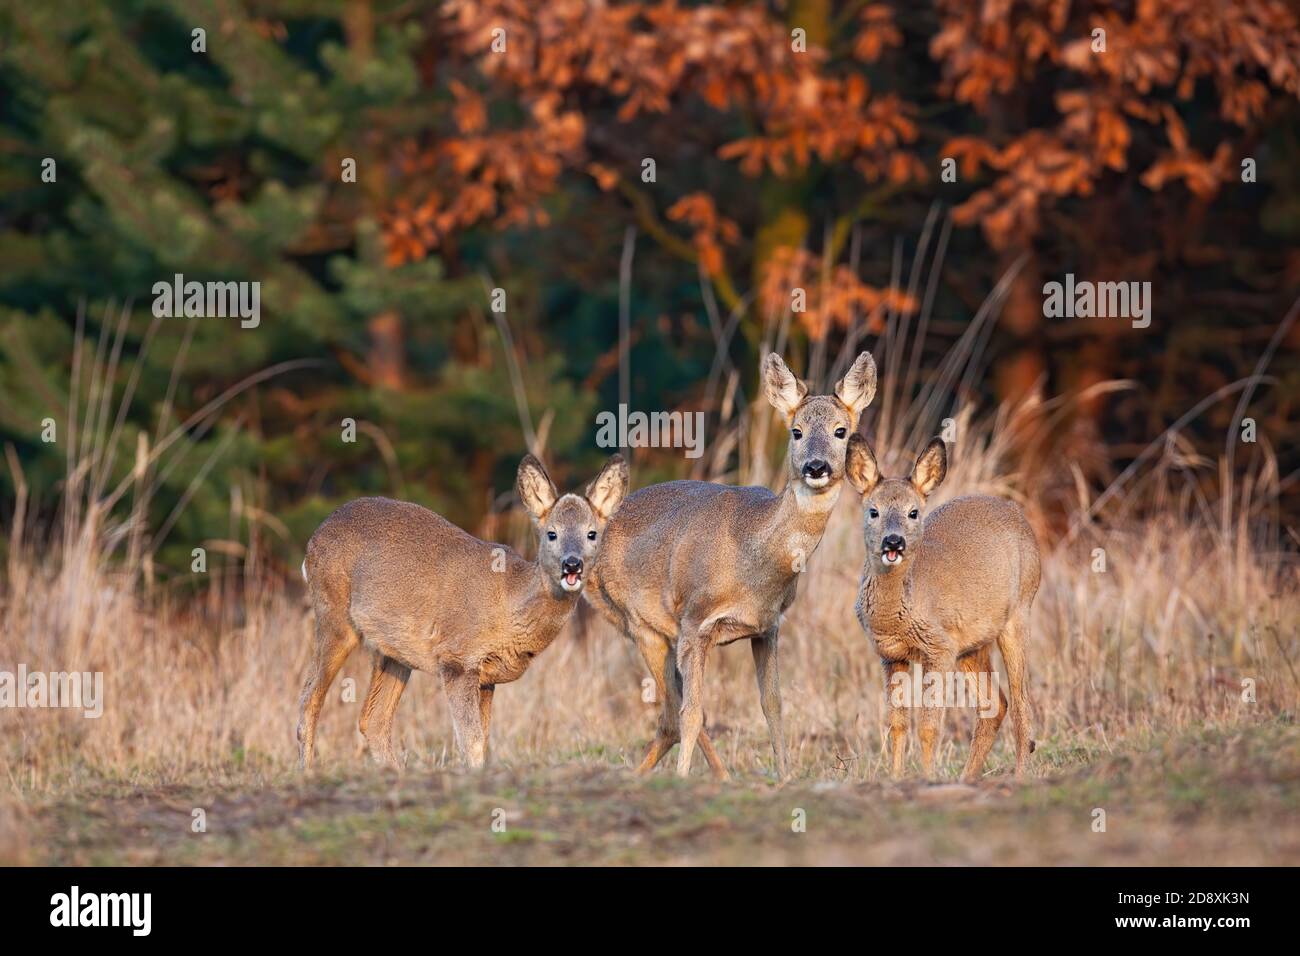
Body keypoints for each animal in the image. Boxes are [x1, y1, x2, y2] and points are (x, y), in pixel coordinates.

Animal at [297, 455, 626, 770]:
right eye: (551, 534)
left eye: (592, 534)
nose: (572, 564)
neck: (510, 603)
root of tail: (313, 540)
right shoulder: (456, 658)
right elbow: (472, 741)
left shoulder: (487, 677)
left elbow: (482, 737)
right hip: (334, 615)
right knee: (309, 699)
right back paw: (308, 771)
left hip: (393, 651)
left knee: (373, 719)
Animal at [587, 356, 873, 780]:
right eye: (796, 431)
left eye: (841, 431)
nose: (816, 466)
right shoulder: (695, 621)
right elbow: (692, 712)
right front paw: (682, 778)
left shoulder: (767, 627)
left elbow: (773, 706)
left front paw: (786, 777)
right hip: (641, 625)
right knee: (672, 714)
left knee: (669, 714)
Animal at [842, 437, 1045, 780]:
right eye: (873, 511)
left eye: (913, 512)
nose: (893, 541)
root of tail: (1015, 511)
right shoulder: (890, 655)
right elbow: (897, 725)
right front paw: (896, 779)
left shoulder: (938, 648)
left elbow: (928, 727)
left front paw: (927, 779)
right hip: (971, 645)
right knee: (995, 705)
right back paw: (968, 777)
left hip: (1019, 612)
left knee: (1021, 704)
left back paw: (1019, 777)